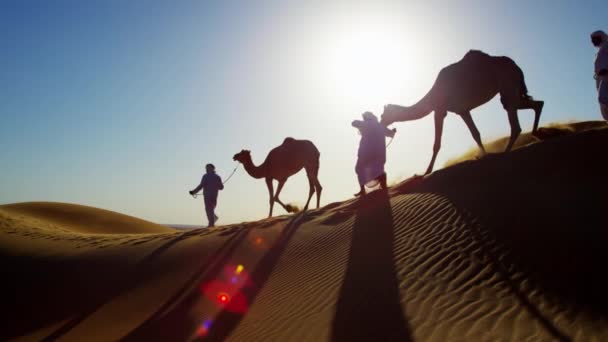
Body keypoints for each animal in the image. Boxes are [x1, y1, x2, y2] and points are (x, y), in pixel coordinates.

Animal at [382, 49, 544, 175]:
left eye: (383, 115)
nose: (381, 123)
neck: (434, 95)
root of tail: (516, 66)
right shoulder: (461, 110)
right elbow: (475, 134)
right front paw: (484, 155)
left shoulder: (442, 110)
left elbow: (437, 143)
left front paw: (426, 172)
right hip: (511, 90)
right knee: (536, 104)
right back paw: (536, 134)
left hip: (508, 85)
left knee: (515, 123)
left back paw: (506, 152)